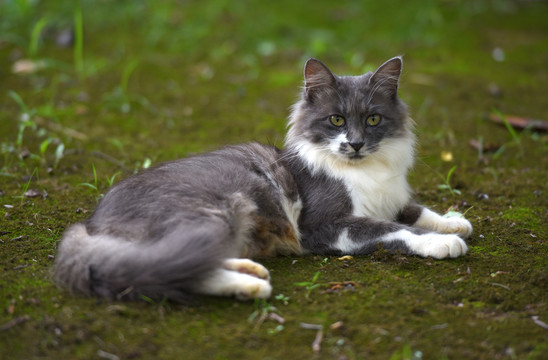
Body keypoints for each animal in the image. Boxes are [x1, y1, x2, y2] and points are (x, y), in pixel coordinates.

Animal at [54, 57, 470, 302]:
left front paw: (455, 222)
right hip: (216, 212)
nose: (354, 143)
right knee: (168, 271)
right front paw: (443, 242)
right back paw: (253, 286)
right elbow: (393, 229)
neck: (363, 169)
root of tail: (88, 226)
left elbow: (414, 211)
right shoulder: (326, 225)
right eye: (336, 119)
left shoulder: (391, 198)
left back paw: (250, 271)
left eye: (372, 119)